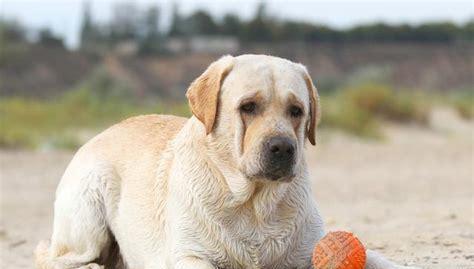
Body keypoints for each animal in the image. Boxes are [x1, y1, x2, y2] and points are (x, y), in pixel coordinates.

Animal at [35, 55, 416, 268]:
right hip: (88, 210)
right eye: (248, 106)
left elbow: (378, 259)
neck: (254, 204)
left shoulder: (309, 248)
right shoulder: (189, 255)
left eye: (297, 111)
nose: (282, 147)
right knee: (53, 257)